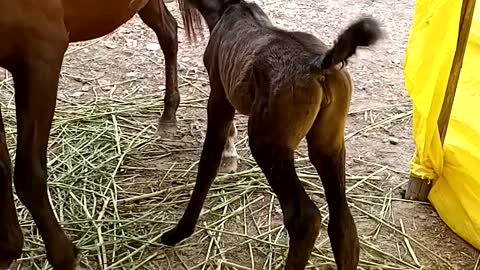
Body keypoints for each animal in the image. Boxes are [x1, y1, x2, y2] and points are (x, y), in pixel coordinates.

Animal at [162, 1, 382, 268]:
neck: (226, 9)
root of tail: (320, 64)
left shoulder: (219, 95)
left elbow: (208, 162)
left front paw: (179, 232)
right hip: (328, 145)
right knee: (342, 223)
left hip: (268, 144)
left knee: (303, 218)